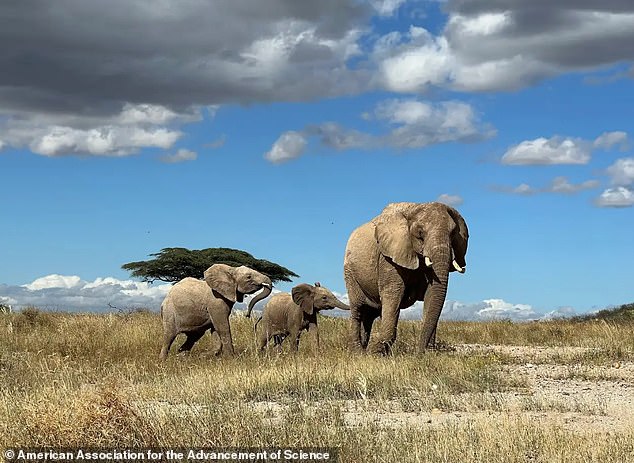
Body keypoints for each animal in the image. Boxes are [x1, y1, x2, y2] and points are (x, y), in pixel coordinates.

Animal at [344, 202, 466, 356]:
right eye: (420, 233)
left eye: (453, 233)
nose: (419, 354)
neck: (414, 208)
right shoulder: (388, 257)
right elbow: (393, 293)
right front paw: (375, 353)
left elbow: (432, 295)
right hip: (350, 272)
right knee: (358, 309)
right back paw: (358, 352)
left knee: (371, 314)